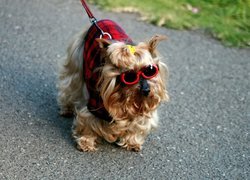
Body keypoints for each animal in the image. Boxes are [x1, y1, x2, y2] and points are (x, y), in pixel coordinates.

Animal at [57, 19, 169, 152]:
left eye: (150, 70)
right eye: (129, 76)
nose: (146, 90)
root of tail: (100, 20)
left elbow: (138, 123)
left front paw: (132, 142)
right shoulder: (94, 104)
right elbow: (88, 121)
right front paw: (86, 141)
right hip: (77, 62)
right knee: (70, 85)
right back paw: (66, 109)